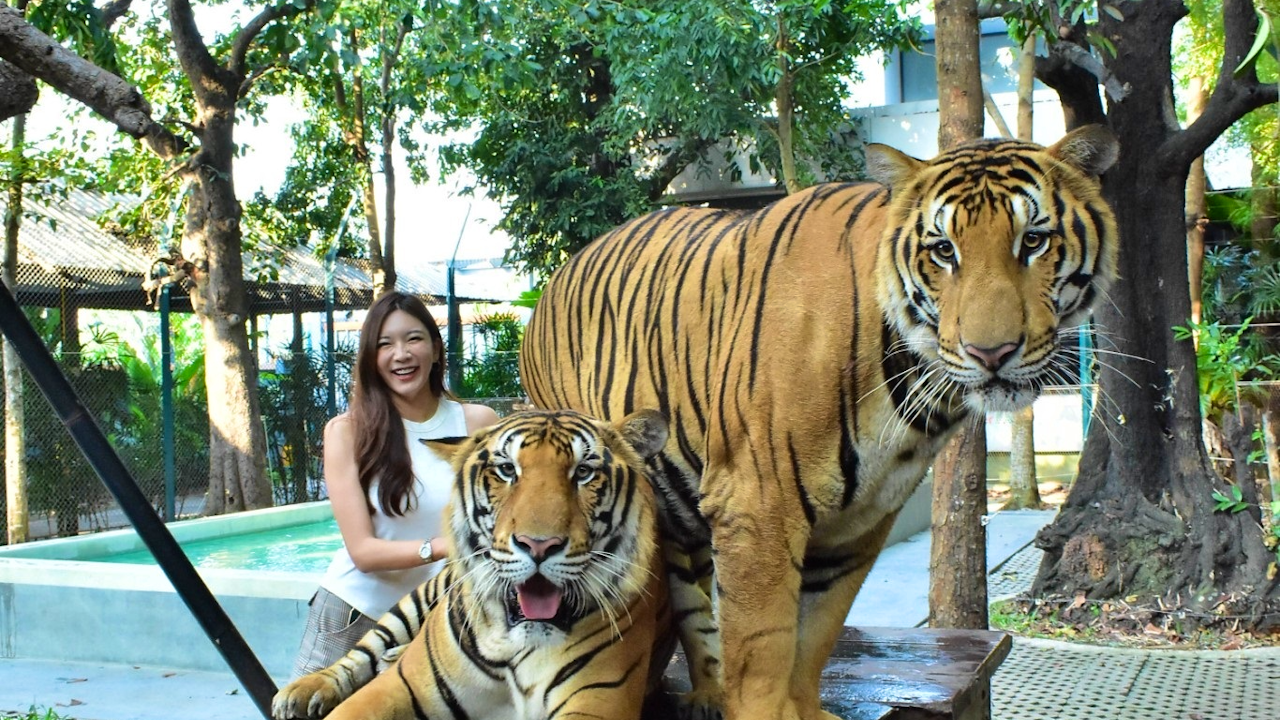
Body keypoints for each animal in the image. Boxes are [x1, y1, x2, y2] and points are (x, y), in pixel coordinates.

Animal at [271, 408, 673, 720]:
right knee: (365, 649)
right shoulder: (400, 685)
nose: (539, 545)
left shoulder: (598, 700)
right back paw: (305, 690)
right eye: (507, 470)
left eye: (584, 472)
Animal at [518, 126, 1120, 720]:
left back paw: (709, 692)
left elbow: (815, 633)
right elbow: (762, 650)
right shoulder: (756, 504)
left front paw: (804, 707)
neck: (910, 389)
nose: (990, 353)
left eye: (1034, 241)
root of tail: (553, 279)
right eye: (944, 250)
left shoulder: (862, 519)